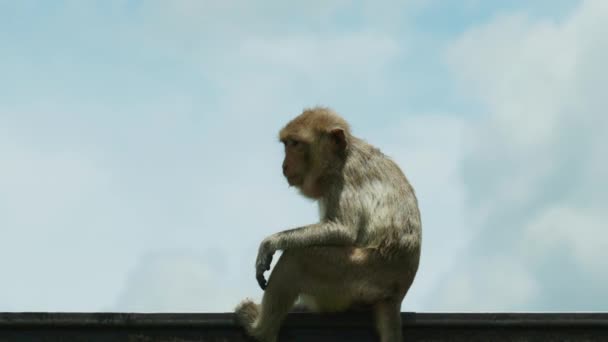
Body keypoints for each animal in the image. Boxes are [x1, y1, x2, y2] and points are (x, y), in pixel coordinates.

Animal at [235, 107, 420, 342]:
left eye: (295, 144)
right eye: (286, 144)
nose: (284, 165)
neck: (342, 156)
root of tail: (396, 295)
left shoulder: (342, 178)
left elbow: (343, 230)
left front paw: (269, 243)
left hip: (357, 280)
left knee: (298, 257)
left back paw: (259, 329)